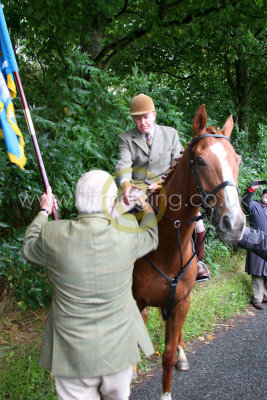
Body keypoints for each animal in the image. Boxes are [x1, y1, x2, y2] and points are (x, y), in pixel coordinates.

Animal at [133, 104, 246, 398]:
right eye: (200, 161)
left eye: (237, 160)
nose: (235, 224)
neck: (168, 246)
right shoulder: (137, 302)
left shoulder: (182, 302)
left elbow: (169, 354)